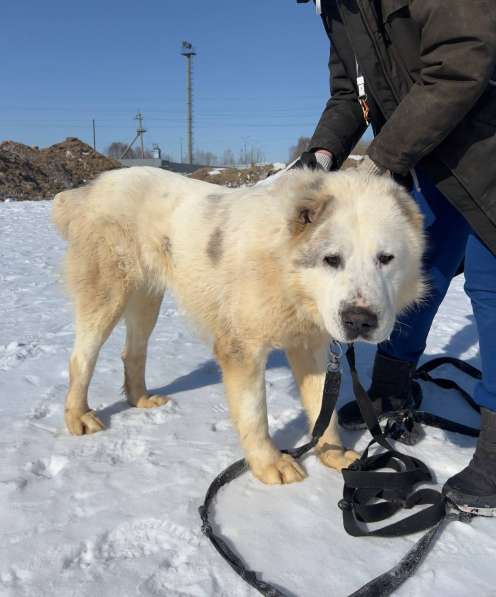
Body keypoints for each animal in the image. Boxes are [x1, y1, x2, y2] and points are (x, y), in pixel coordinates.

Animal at [54, 166, 426, 484]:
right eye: (331, 259)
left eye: (385, 259)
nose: (359, 319)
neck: (284, 267)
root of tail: (90, 189)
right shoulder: (241, 349)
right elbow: (255, 413)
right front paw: (270, 463)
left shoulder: (310, 346)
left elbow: (323, 407)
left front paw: (332, 453)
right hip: (107, 294)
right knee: (81, 357)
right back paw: (77, 416)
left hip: (147, 300)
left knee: (133, 351)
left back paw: (140, 398)